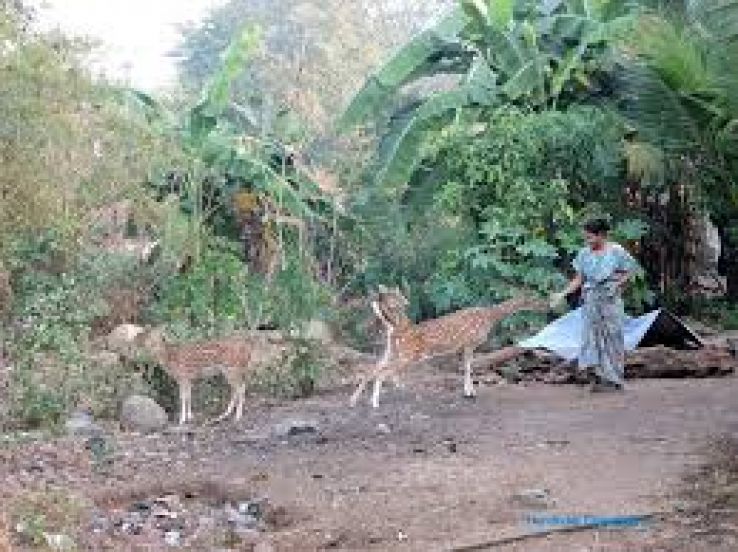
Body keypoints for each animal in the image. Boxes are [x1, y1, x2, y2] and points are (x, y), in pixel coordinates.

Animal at [137, 330, 286, 424]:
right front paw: (190, 416)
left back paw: (237, 416)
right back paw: (225, 414)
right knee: (238, 388)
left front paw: (182, 420)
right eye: (147, 338)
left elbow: (183, 397)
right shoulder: (188, 378)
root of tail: (248, 352)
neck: (169, 359)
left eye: (155, 338)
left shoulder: (183, 375)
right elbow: (189, 396)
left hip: (231, 369)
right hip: (234, 370)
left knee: (240, 388)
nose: (150, 347)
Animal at [350, 286, 548, 408]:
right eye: (535, 298)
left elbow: (466, 367)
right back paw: (375, 402)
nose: (548, 305)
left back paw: (355, 400)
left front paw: (469, 392)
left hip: (393, 351)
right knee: (382, 371)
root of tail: (397, 332)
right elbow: (468, 367)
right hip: (408, 355)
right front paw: (470, 393)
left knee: (373, 368)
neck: (490, 317)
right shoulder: (470, 342)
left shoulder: (464, 346)